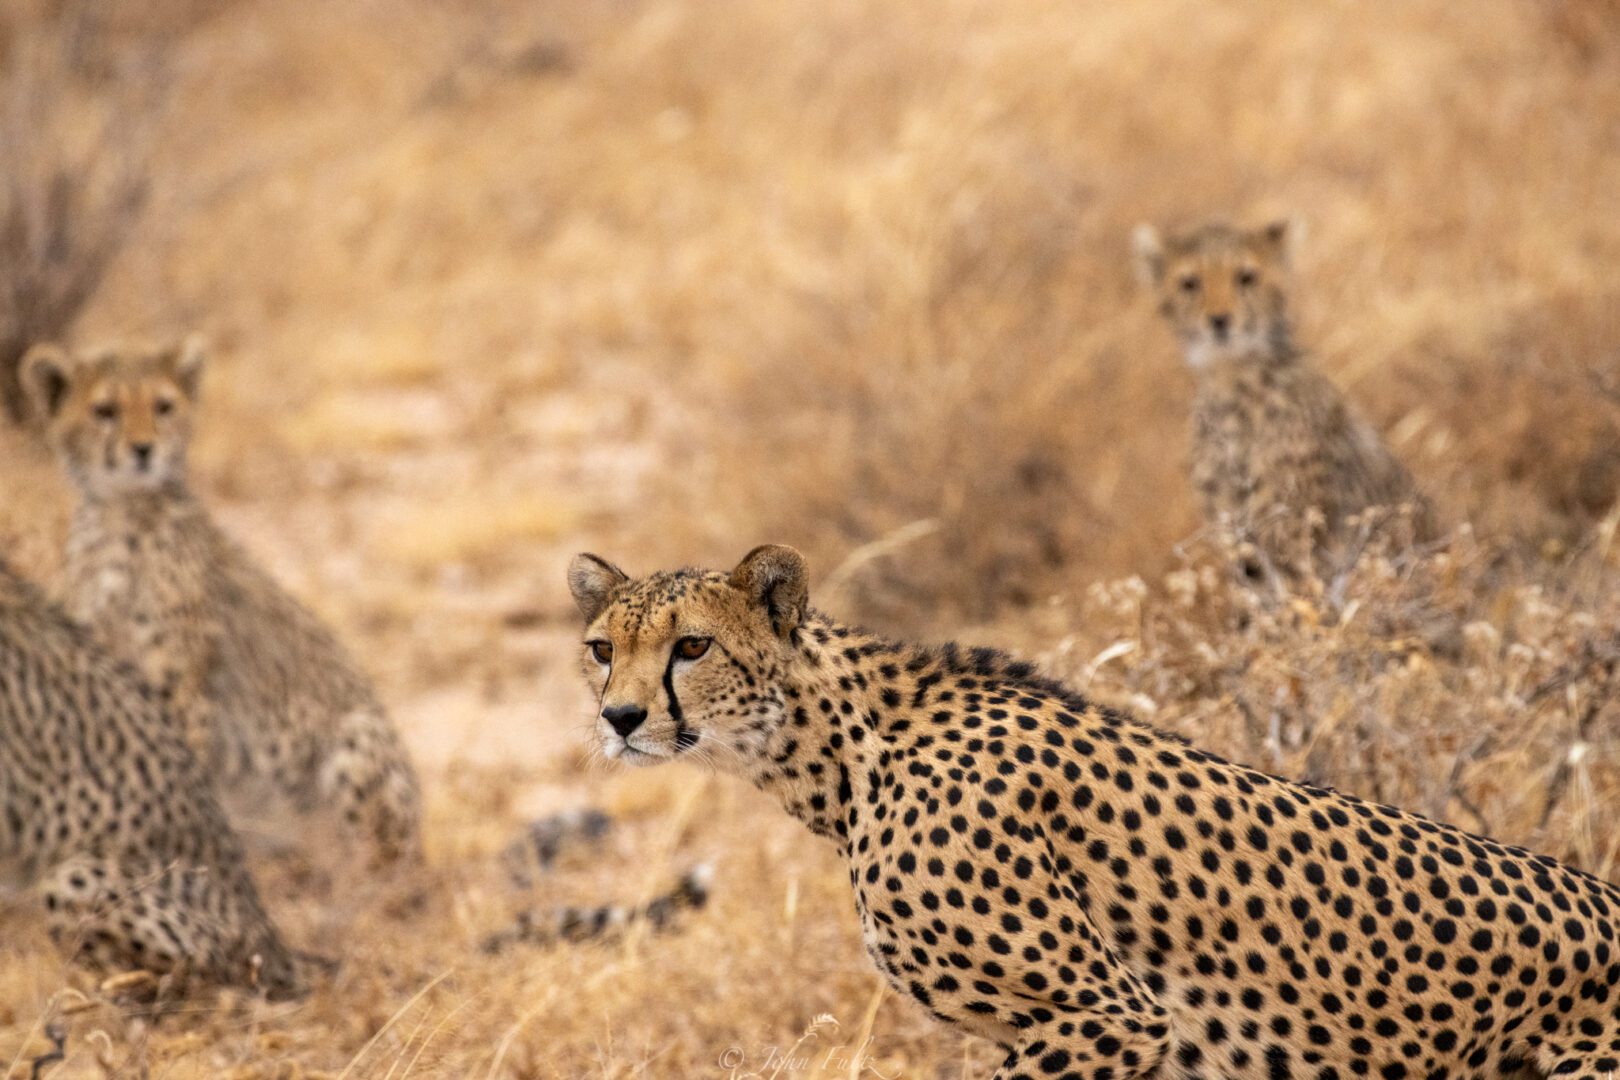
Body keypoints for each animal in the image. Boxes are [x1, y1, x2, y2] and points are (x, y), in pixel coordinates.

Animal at [22, 341, 421, 867]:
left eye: (164, 407)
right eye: (104, 411)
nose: (143, 450)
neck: (119, 515)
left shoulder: (179, 681)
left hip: (358, 738)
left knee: (378, 860)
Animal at [1134, 220, 1438, 582]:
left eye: (1246, 277)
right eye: (1190, 283)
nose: (1219, 321)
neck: (1232, 381)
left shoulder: (1293, 535)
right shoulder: (1234, 534)